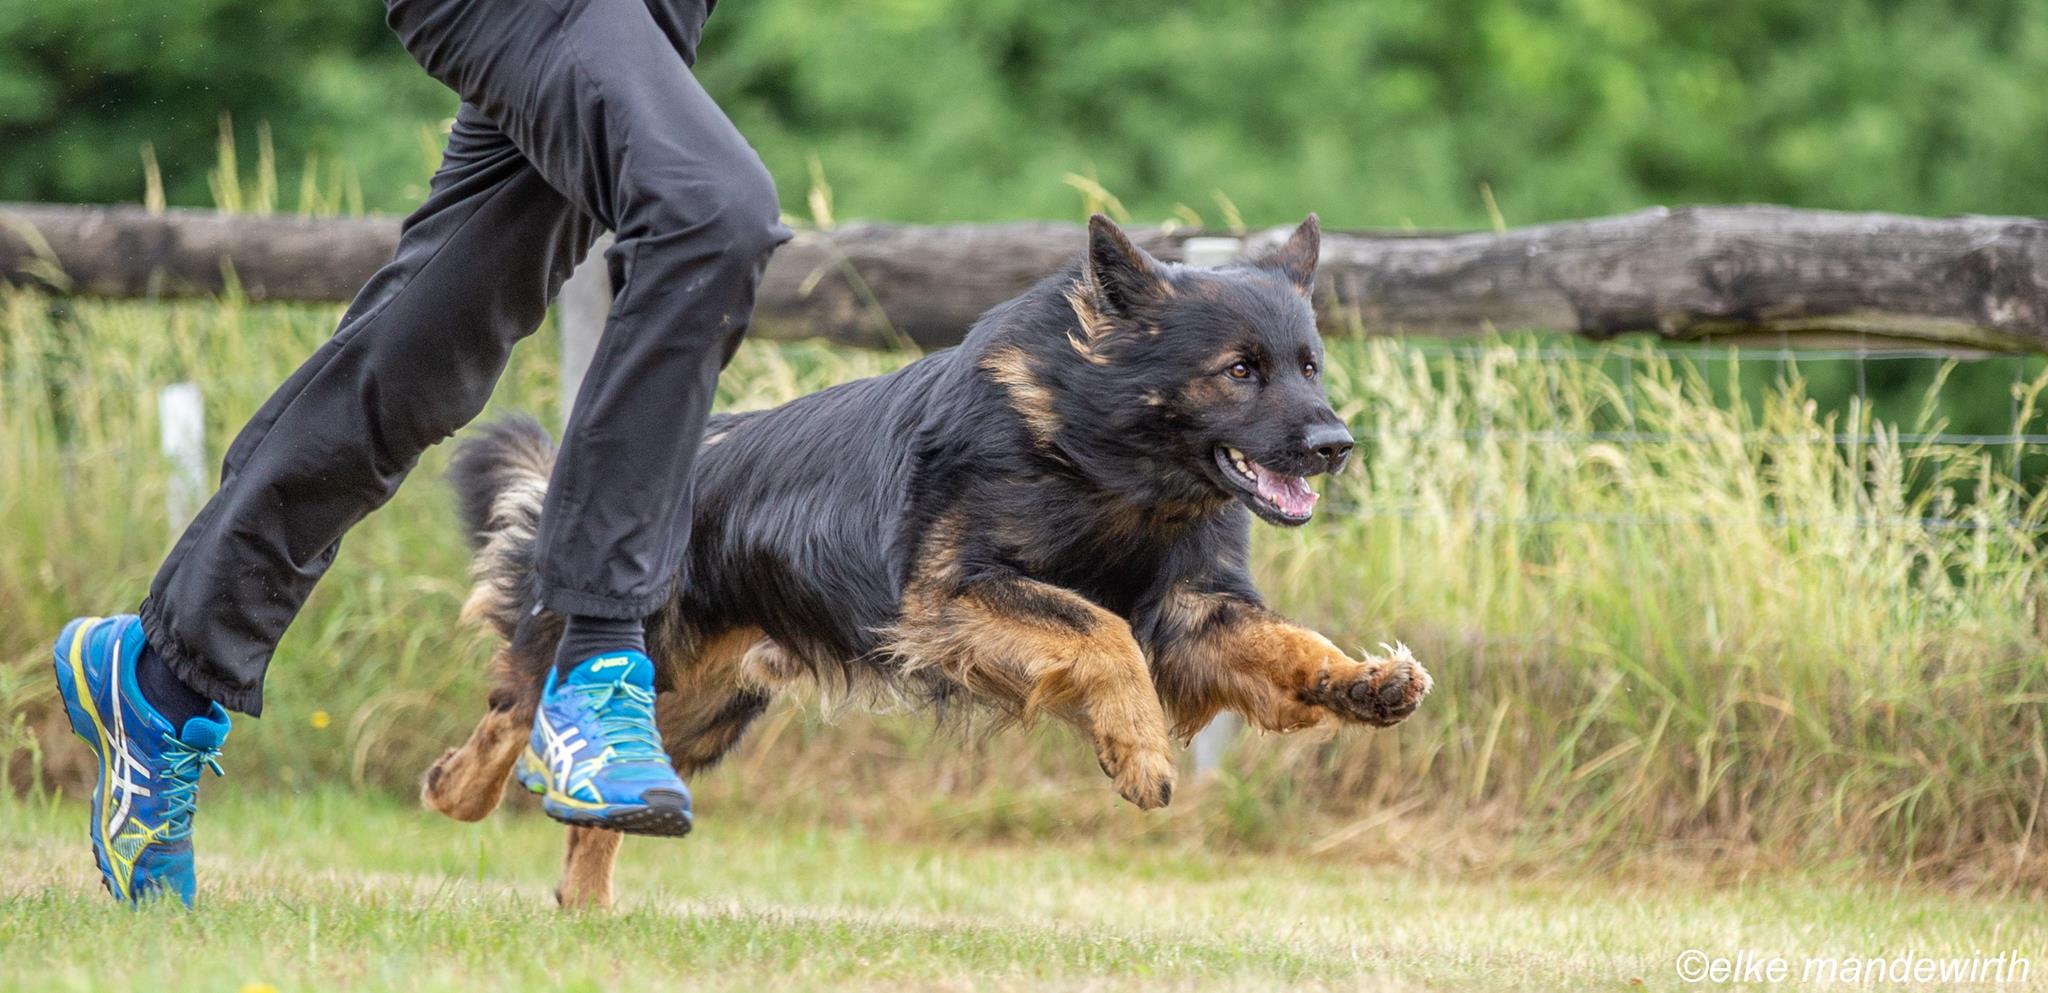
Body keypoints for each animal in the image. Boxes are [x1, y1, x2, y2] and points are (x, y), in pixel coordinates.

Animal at [420, 214, 1432, 908]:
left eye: (1310, 366)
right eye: (1240, 370)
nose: (1338, 445)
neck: (1103, 463)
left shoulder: (1193, 613)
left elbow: (1284, 643)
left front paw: (1362, 681)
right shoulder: (952, 598)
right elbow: (1103, 631)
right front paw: (1138, 748)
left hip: (703, 705)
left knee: (603, 801)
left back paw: (586, 907)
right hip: (634, 661)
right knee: (515, 710)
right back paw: (459, 789)